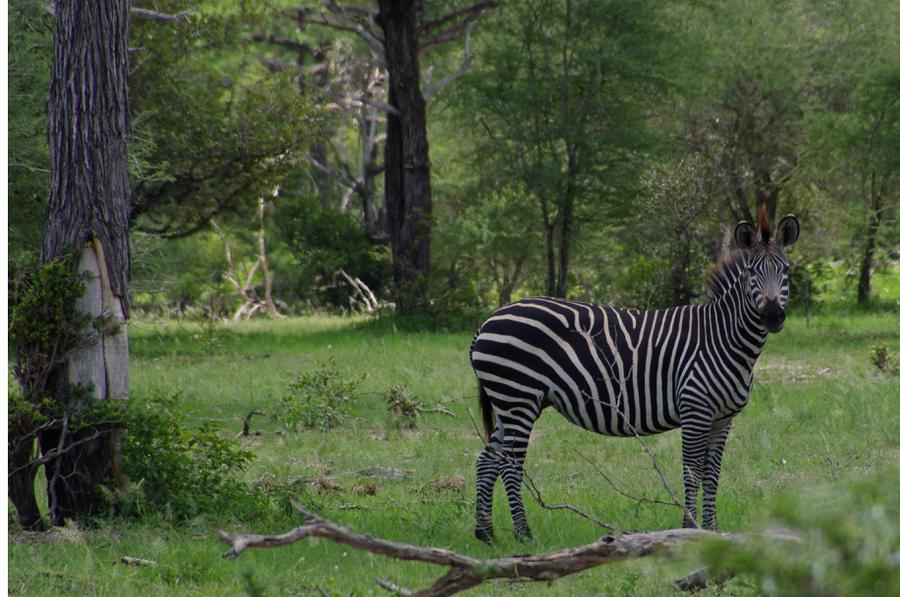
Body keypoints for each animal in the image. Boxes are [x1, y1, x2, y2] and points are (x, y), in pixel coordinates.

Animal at [472, 210, 800, 540]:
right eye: (751, 272)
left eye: (785, 270)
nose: (772, 316)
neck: (723, 337)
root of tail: (488, 320)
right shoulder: (695, 409)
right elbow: (692, 471)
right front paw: (689, 529)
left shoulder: (723, 417)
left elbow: (712, 473)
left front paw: (712, 530)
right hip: (518, 398)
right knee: (510, 464)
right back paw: (523, 533)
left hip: (512, 402)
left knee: (487, 460)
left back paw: (486, 534)